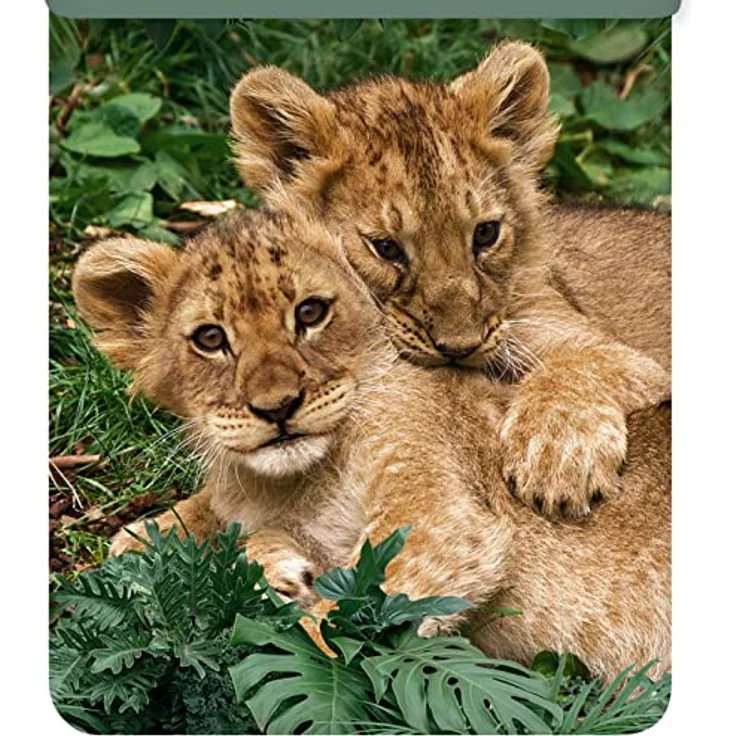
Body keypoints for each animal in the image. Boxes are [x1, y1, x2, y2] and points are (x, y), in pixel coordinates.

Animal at [72, 205, 670, 681]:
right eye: (211, 338)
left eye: (310, 313)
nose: (277, 407)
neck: (293, 486)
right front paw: (255, 560)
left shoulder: (441, 521)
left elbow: (326, 630)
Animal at [229, 41, 671, 520]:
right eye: (386, 248)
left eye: (486, 233)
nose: (459, 348)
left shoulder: (614, 350)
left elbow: (579, 366)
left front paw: (557, 461)